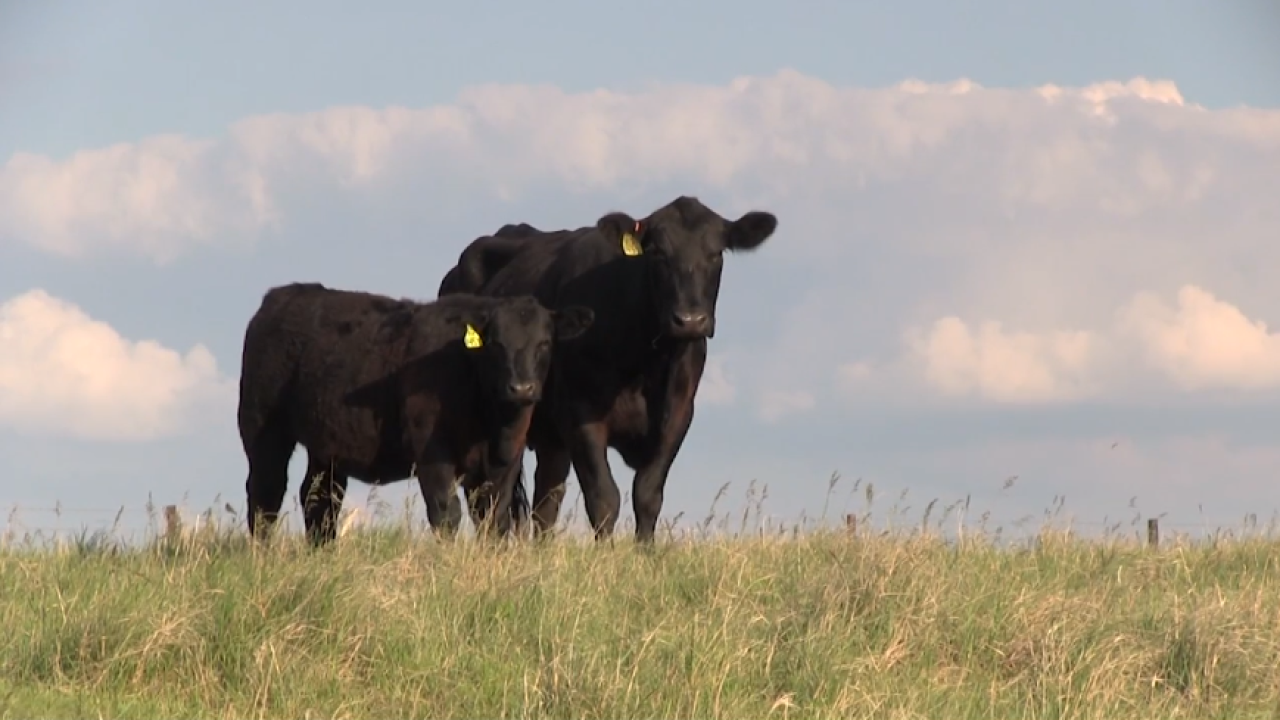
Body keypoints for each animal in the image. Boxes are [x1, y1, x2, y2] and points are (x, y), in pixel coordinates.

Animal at [236, 282, 594, 546]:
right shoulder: (432, 454)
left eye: (545, 343)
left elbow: (494, 520)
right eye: (495, 344)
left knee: (319, 499)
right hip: (263, 429)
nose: (521, 388)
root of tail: (284, 295)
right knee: (265, 494)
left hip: (326, 445)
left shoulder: (504, 464)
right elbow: (446, 515)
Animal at [437, 195, 778, 543]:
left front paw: (645, 550)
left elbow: (647, 494)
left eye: (716, 253)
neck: (646, 363)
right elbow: (603, 497)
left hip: (549, 438)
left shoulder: (678, 414)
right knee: (488, 499)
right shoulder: (580, 412)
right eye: (658, 253)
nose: (690, 320)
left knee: (545, 500)